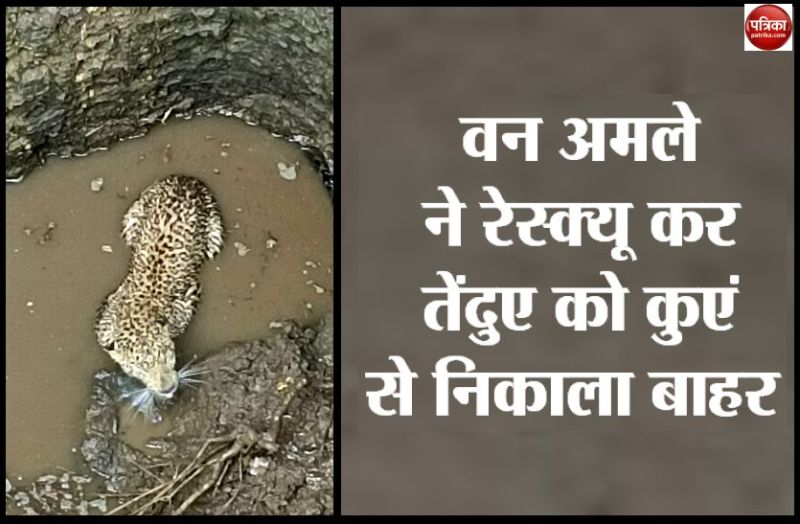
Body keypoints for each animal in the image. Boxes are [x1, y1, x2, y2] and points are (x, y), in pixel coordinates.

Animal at [94, 174, 224, 416]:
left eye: (166, 355)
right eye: (140, 368)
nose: (168, 388)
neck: (137, 311)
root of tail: (185, 179)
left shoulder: (188, 296)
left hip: (214, 227)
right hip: (133, 215)